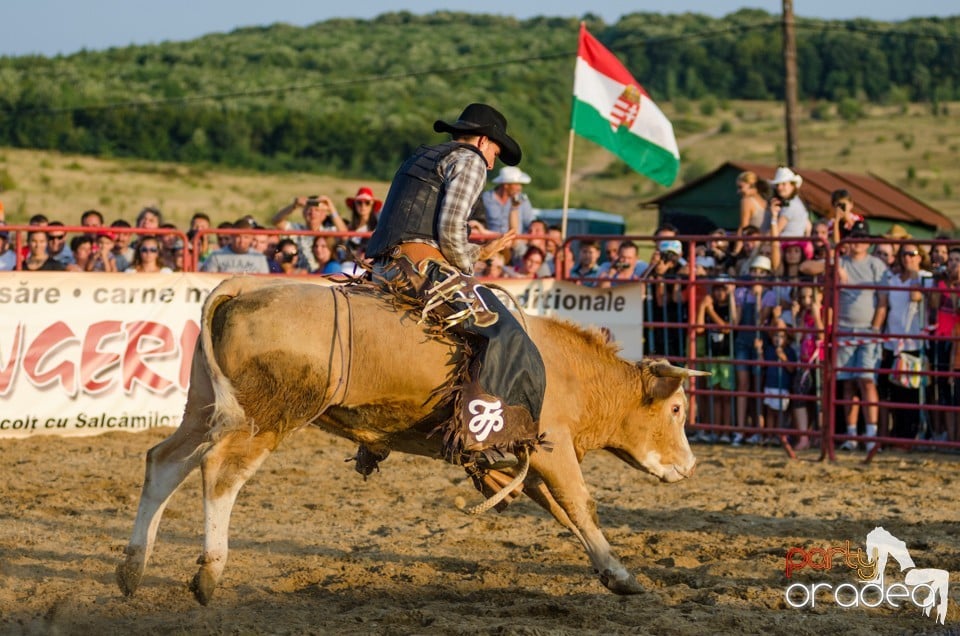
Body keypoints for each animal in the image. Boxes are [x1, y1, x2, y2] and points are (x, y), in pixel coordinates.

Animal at [118, 276, 704, 604]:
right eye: (676, 409)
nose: (689, 467)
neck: (571, 370)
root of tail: (244, 288)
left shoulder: (526, 459)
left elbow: (562, 512)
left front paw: (608, 571)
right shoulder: (552, 445)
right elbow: (582, 506)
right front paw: (622, 576)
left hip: (203, 407)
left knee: (163, 462)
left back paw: (131, 569)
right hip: (267, 416)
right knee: (220, 474)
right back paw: (208, 575)